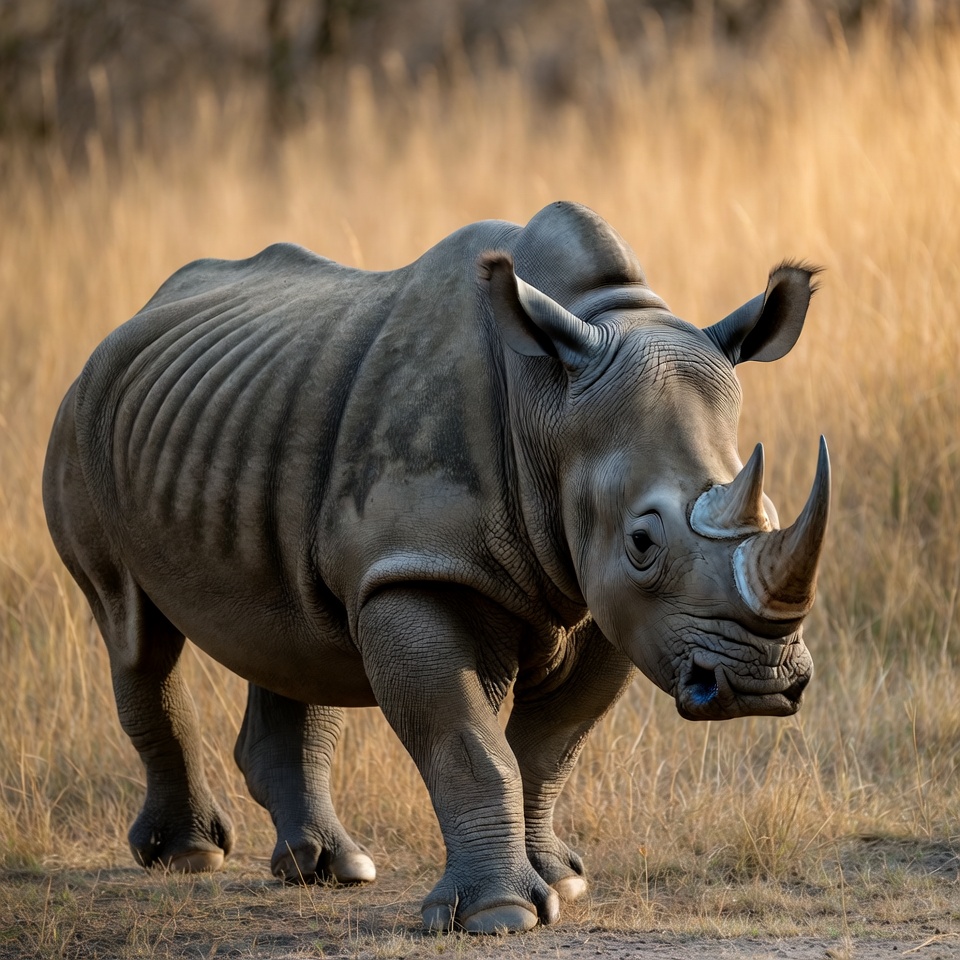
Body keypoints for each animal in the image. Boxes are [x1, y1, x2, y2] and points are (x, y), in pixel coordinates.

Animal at [43, 201, 829, 934]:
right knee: (133, 630)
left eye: (769, 511)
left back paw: (332, 870)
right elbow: (468, 744)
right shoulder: (419, 565)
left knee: (294, 635)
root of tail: (128, 322)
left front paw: (563, 882)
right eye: (642, 541)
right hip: (80, 420)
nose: (762, 683)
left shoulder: (616, 603)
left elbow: (551, 744)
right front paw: (500, 915)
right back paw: (192, 856)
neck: (549, 402)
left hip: (248, 413)